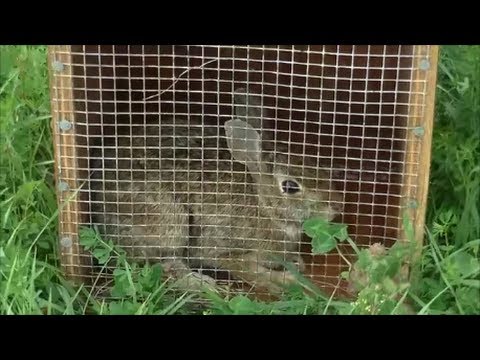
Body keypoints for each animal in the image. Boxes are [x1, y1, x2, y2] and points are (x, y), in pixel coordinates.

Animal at [88, 88, 344, 296]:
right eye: (291, 187)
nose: (336, 207)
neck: (263, 203)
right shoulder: (225, 250)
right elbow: (245, 269)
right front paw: (282, 281)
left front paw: (294, 262)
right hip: (169, 221)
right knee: (159, 263)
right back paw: (201, 283)